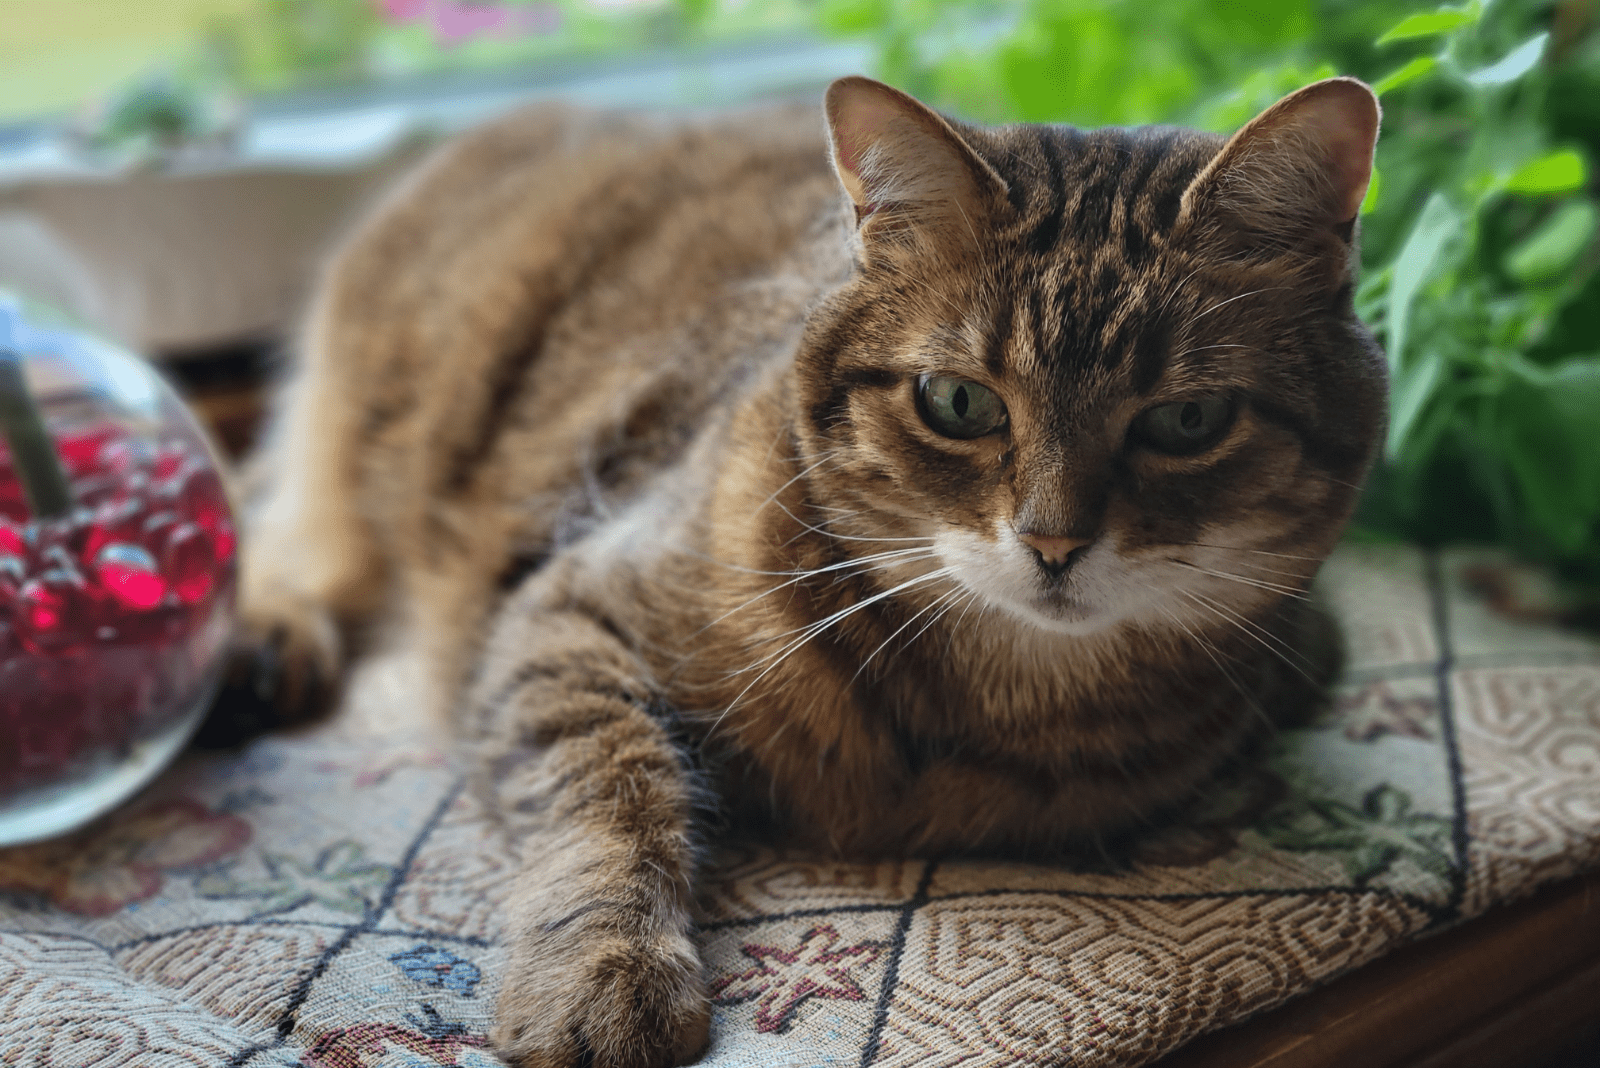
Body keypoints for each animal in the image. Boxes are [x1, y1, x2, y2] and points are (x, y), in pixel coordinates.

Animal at [233, 77, 1388, 1068]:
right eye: (957, 402)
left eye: (1187, 421)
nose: (1054, 542)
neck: (987, 703)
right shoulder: (568, 607)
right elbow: (608, 792)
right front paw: (604, 970)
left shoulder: (1305, 645)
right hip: (351, 436)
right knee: (277, 521)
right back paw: (259, 636)